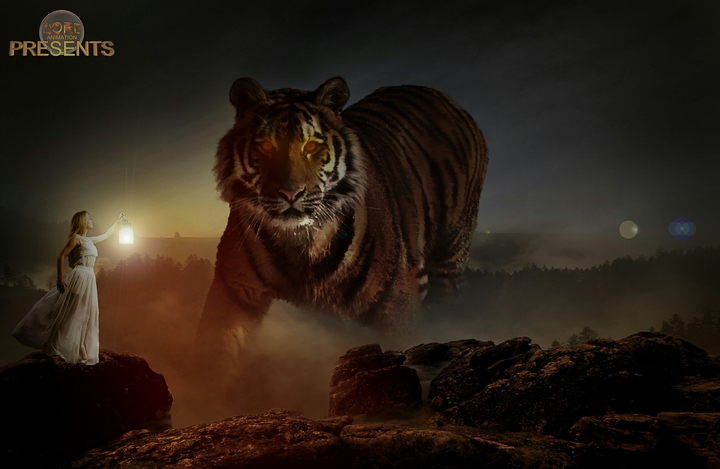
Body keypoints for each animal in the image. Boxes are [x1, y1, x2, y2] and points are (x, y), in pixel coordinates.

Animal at [195, 76, 488, 374]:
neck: (299, 239)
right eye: (266, 146)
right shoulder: (234, 293)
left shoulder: (396, 306)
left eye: (311, 147)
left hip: (450, 257)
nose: (291, 193)